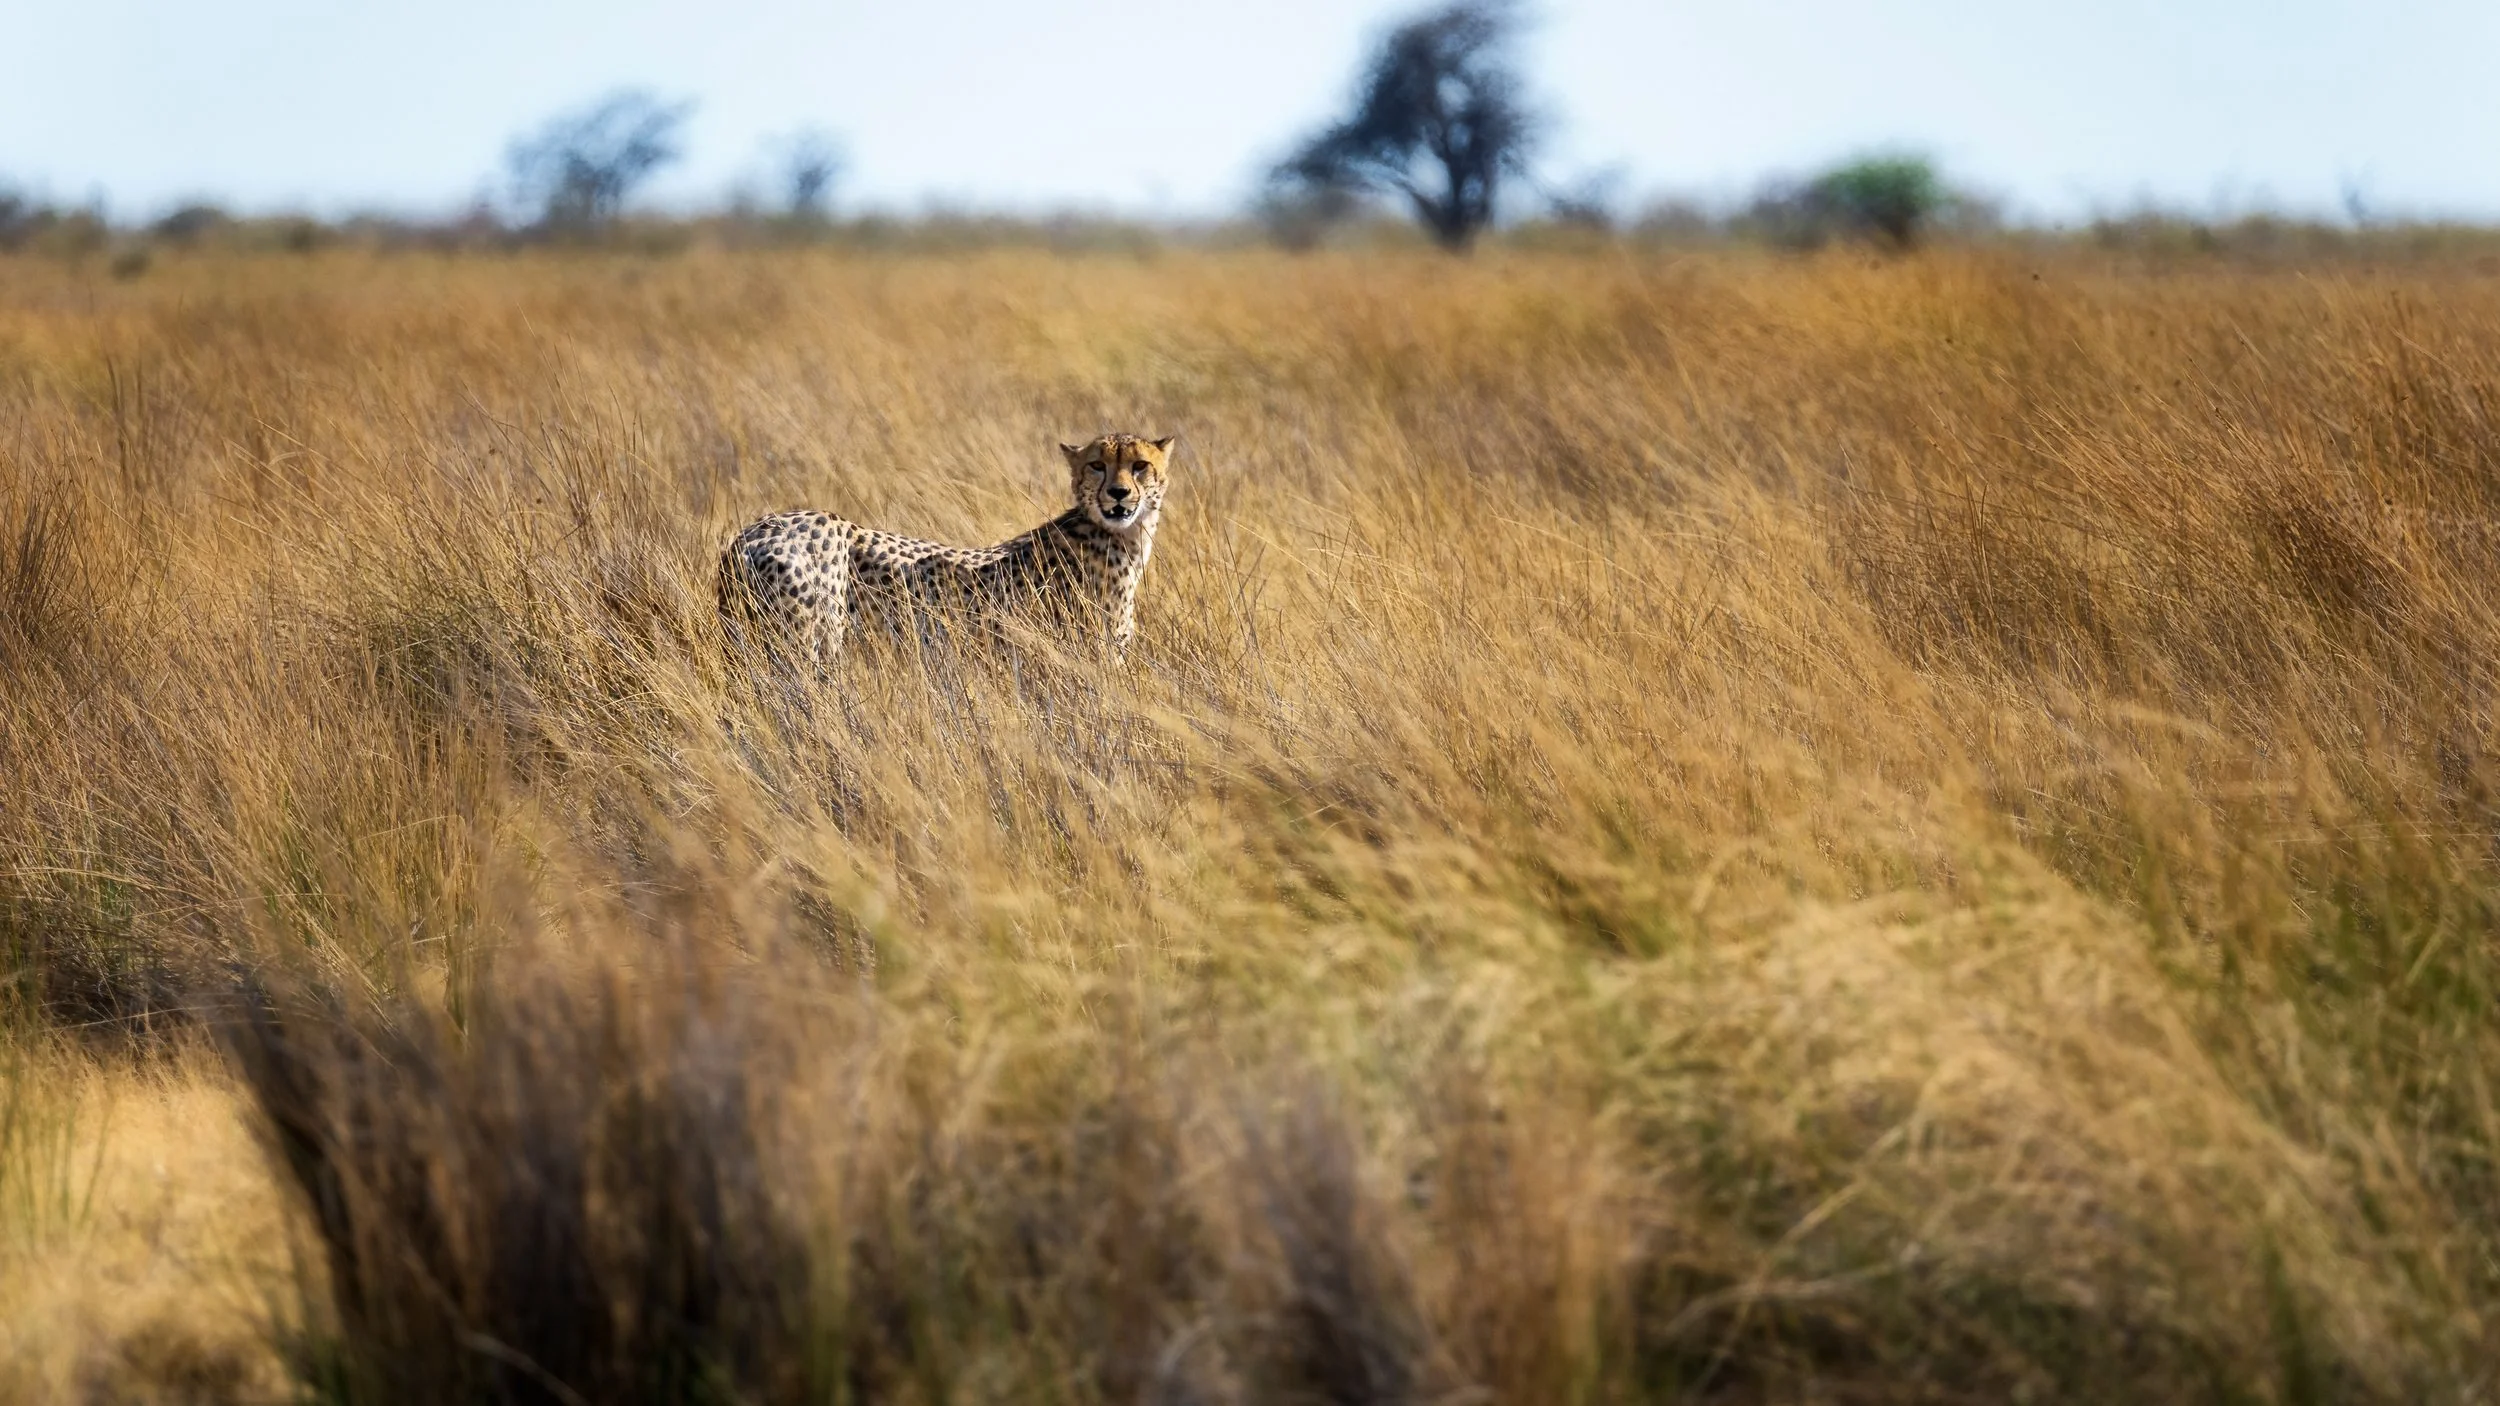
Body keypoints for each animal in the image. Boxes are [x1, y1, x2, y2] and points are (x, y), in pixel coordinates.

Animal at [717, 433, 1174, 672]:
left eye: (1140, 466)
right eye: (1097, 465)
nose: (1119, 493)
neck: (1122, 537)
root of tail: (752, 532)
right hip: (809, 641)